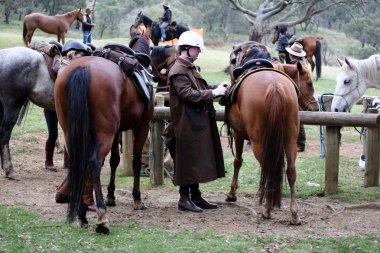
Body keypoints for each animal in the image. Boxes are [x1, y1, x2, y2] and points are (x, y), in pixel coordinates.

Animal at [53, 56, 154, 234]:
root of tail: (83, 68)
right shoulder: (142, 125)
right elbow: (135, 161)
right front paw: (137, 198)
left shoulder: (117, 131)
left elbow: (114, 160)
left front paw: (111, 196)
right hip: (105, 132)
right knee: (94, 163)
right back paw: (102, 219)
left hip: (71, 132)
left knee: (80, 163)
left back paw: (82, 214)